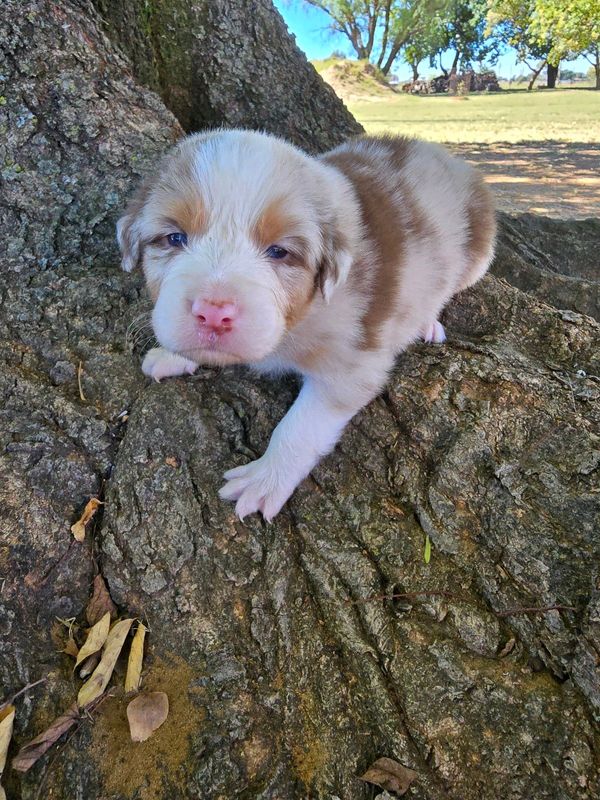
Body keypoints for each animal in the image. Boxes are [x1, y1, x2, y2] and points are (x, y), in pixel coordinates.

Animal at [117, 129, 496, 520]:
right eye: (174, 238)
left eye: (279, 252)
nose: (213, 313)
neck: (296, 323)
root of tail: (444, 155)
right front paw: (173, 355)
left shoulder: (353, 366)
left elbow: (300, 427)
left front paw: (264, 480)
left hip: (479, 254)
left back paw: (427, 323)